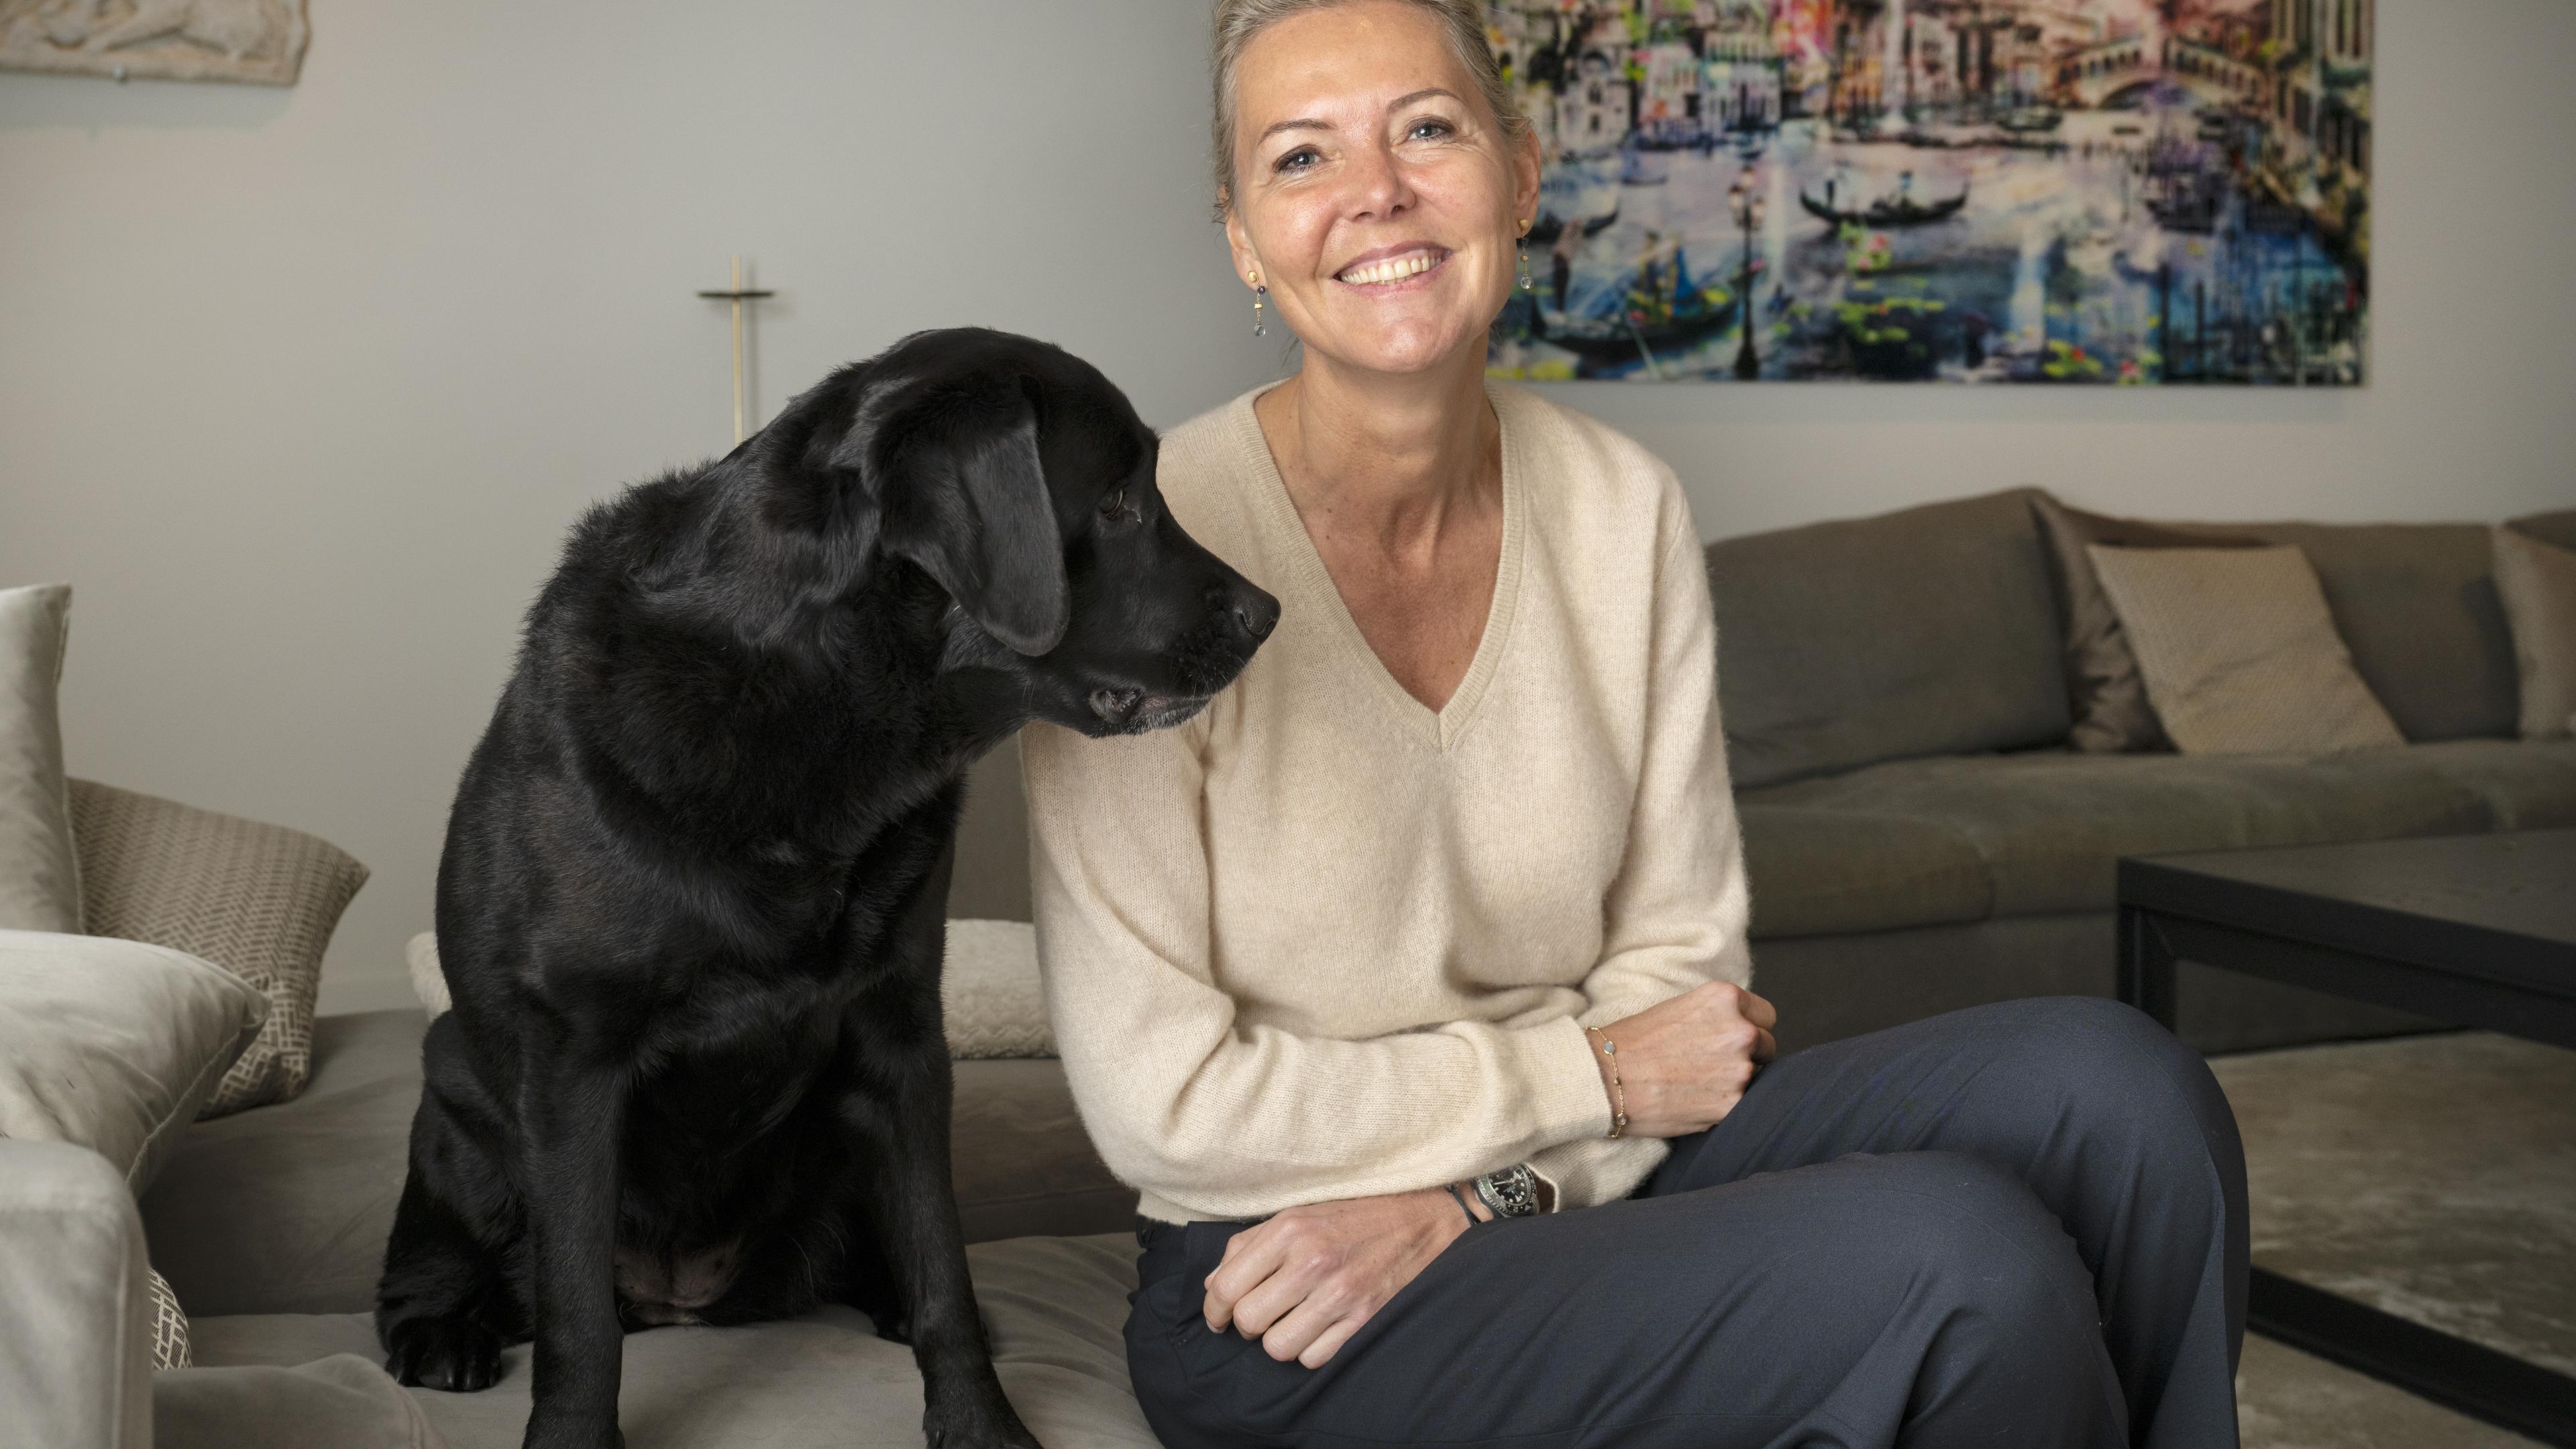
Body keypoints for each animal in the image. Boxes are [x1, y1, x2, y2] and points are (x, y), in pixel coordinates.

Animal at [373, 327, 1277, 1444]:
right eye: (1117, 501)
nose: (1271, 612)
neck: (815, 709)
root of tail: (682, 1301)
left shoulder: (900, 1040)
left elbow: (943, 1271)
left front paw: (981, 1425)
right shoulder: (579, 1055)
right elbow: (578, 1321)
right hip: (454, 1087)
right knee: (445, 1259)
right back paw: (440, 1332)